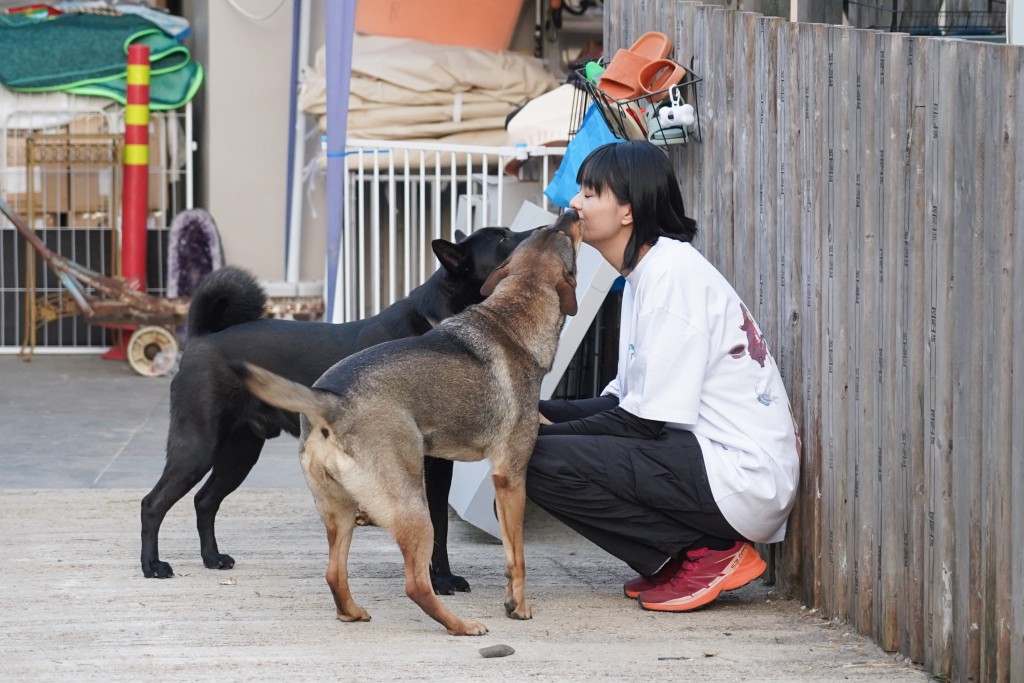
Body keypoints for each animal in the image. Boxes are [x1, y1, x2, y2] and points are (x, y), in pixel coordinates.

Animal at [140, 228, 532, 593]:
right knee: (152, 503)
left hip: (240, 454)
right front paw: (435, 582)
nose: (543, 228)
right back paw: (152, 565)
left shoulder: (437, 466)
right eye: (501, 238)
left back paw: (211, 558)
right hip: (198, 447)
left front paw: (443, 579)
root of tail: (202, 337)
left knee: (205, 501)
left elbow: (440, 524)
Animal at [234, 209, 585, 634]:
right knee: (416, 584)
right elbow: (516, 555)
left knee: (334, 573)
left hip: (341, 512)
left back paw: (353, 612)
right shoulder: (510, 477)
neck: (514, 311)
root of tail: (333, 402)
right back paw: (461, 625)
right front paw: (517, 605)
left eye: (550, 231)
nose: (569, 212)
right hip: (413, 508)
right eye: (503, 238)